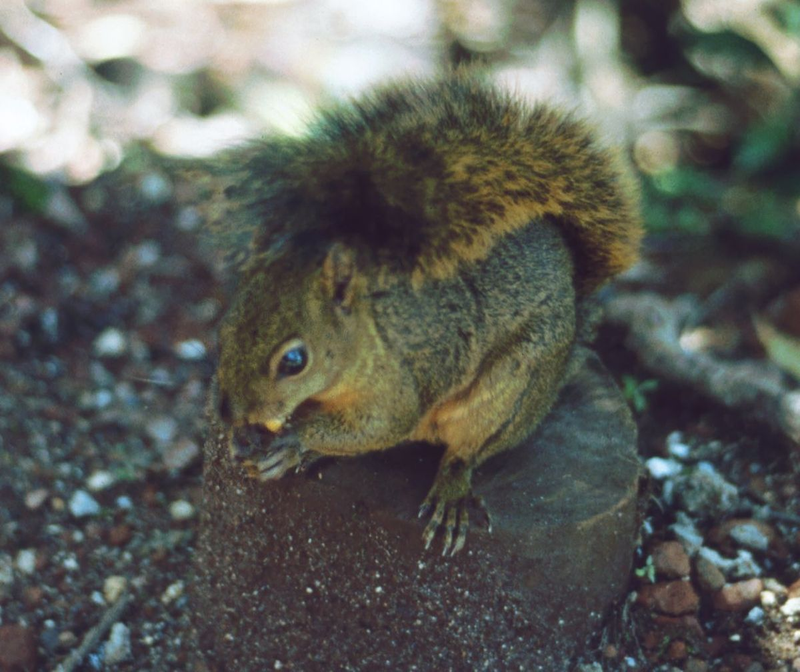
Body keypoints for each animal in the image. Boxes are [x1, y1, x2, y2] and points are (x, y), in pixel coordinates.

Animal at [203, 73, 640, 556]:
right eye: (225, 329)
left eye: (294, 361)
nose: (229, 413)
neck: (364, 338)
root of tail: (573, 285)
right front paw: (252, 439)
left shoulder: (399, 389)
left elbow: (379, 428)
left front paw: (295, 436)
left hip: (513, 388)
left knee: (467, 450)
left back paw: (449, 489)